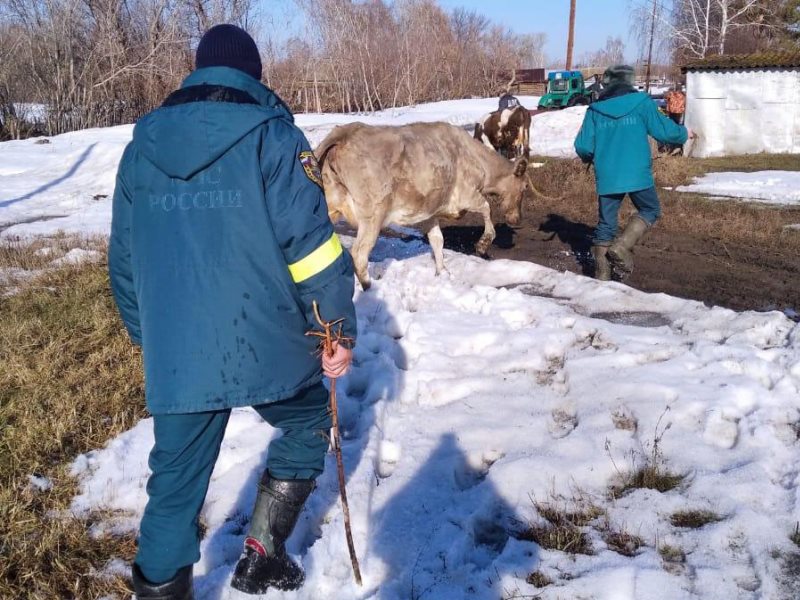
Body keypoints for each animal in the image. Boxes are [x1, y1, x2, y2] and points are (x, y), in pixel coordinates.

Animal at [314, 120, 532, 290]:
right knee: (359, 254)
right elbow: (487, 208)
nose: (518, 219)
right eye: (524, 188)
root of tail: (347, 132)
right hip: (373, 213)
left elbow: (437, 240)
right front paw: (483, 243)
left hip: (329, 207)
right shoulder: (466, 196)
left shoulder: (430, 212)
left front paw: (441, 272)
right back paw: (369, 288)